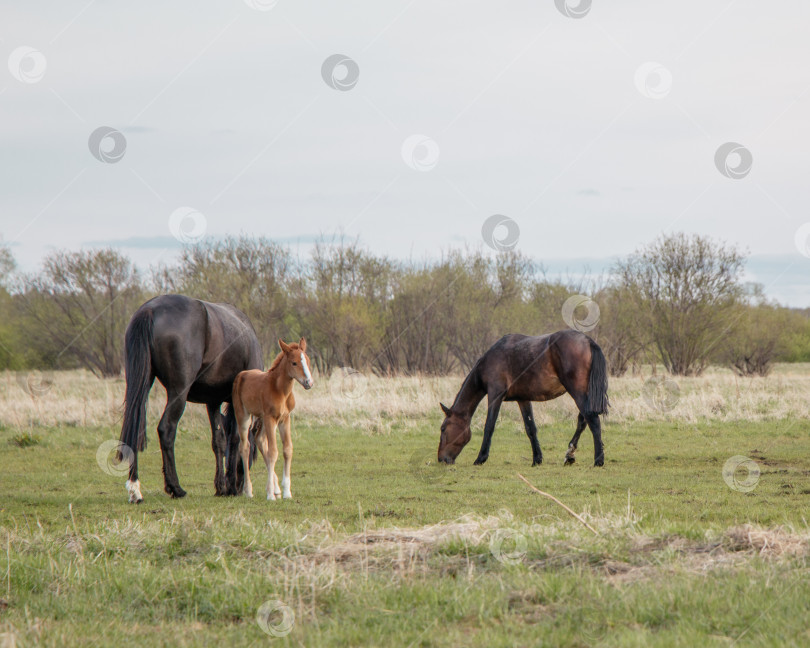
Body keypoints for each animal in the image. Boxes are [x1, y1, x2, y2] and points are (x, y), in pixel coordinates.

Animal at [119, 294, 262, 502]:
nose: (240, 485)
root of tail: (150, 310)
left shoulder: (213, 402)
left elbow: (219, 441)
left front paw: (221, 486)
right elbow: (236, 438)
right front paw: (230, 487)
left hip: (140, 383)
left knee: (135, 428)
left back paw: (135, 489)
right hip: (178, 392)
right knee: (166, 430)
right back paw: (175, 488)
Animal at [232, 340, 314, 502]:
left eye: (307, 361)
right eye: (294, 363)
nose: (309, 382)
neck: (280, 390)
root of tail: (241, 374)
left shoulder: (284, 419)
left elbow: (287, 450)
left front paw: (286, 492)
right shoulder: (270, 418)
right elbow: (273, 452)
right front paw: (270, 494)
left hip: (263, 420)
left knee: (260, 440)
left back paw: (276, 489)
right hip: (244, 416)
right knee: (245, 447)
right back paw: (249, 491)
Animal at [438, 332, 608, 468]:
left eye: (443, 428)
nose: (441, 459)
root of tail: (587, 341)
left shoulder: (495, 395)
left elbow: (489, 426)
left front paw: (481, 458)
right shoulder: (523, 399)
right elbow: (530, 428)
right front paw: (536, 459)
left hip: (577, 392)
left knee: (592, 421)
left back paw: (598, 460)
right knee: (583, 421)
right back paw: (570, 454)